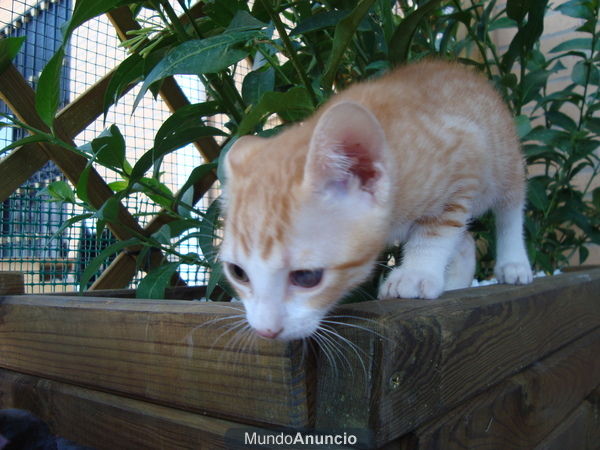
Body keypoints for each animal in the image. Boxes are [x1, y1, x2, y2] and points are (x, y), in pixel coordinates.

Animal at [218, 60, 532, 342]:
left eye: (307, 277)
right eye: (238, 272)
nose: (265, 331)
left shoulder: (467, 154)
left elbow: (437, 231)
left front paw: (416, 272)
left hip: (502, 158)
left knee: (510, 207)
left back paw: (513, 263)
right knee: (465, 239)